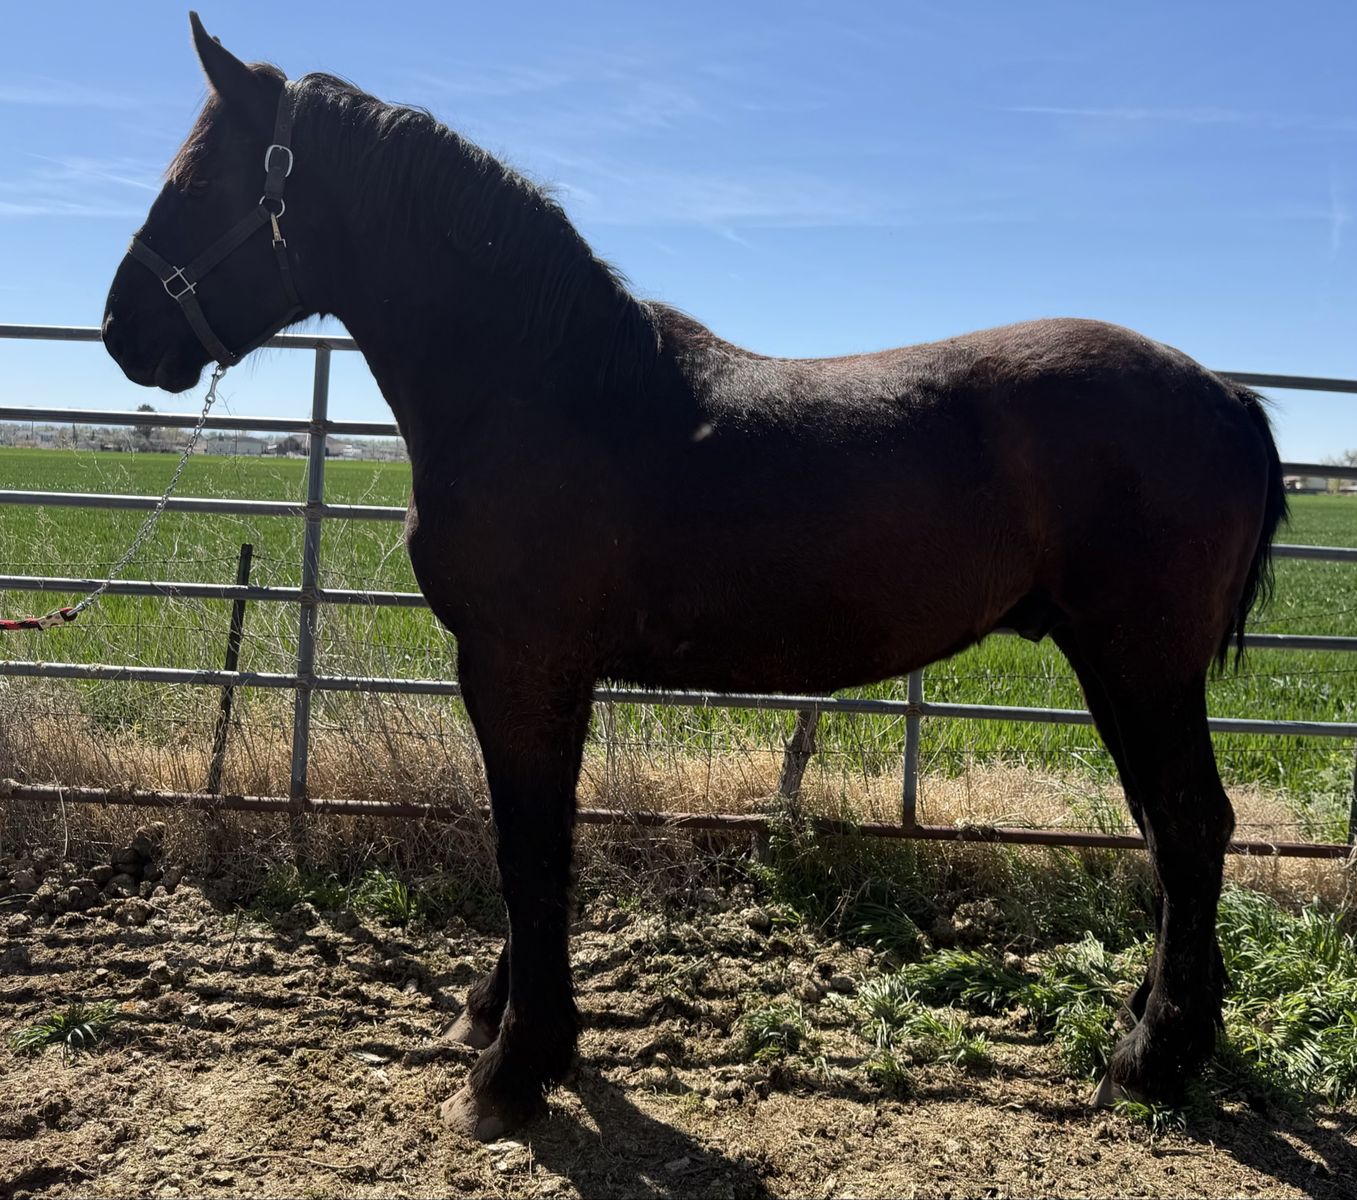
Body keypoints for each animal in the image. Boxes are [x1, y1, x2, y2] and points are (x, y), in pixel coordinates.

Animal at [101, 13, 1286, 1141]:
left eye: (194, 184)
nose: (122, 330)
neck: (546, 389)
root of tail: (1225, 397)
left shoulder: (516, 663)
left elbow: (526, 847)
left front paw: (514, 1071)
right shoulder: (546, 672)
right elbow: (541, 839)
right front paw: (500, 1018)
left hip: (1141, 662)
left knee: (1189, 826)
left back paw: (1150, 1061)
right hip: (1115, 664)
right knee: (1167, 831)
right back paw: (1152, 1026)